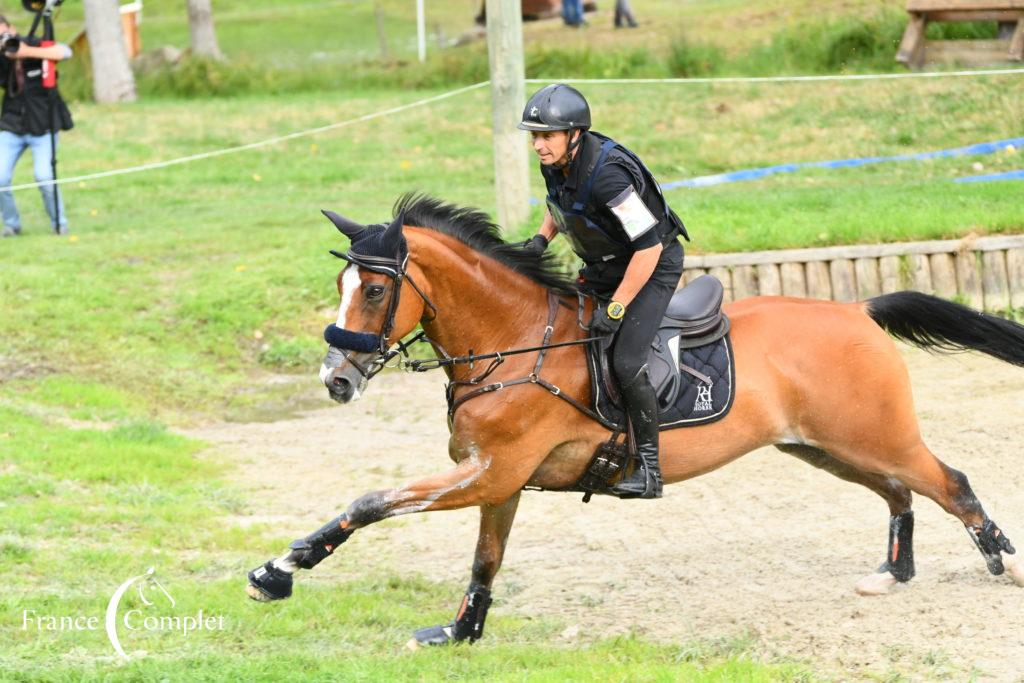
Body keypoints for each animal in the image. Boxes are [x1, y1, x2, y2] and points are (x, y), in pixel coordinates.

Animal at [247, 193, 1024, 647]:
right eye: (341, 283)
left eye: (376, 290)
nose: (336, 379)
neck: (514, 339)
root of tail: (857, 308)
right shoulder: (499, 478)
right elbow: (485, 559)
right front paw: (461, 631)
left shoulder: (488, 472)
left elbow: (371, 500)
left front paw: (279, 568)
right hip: (827, 445)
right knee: (900, 492)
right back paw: (891, 574)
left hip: (872, 434)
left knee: (948, 482)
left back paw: (1003, 563)